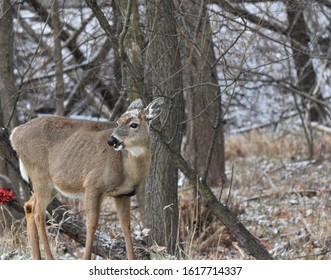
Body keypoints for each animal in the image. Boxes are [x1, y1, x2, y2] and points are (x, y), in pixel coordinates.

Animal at [9, 97, 165, 260]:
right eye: (117, 122)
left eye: (134, 124)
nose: (112, 140)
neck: (127, 169)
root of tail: (14, 134)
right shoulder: (93, 184)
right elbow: (92, 224)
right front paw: (86, 257)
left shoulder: (123, 193)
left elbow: (126, 226)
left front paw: (132, 258)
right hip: (40, 176)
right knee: (39, 213)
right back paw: (49, 258)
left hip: (51, 185)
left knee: (29, 206)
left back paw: (37, 257)